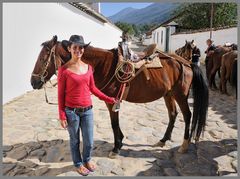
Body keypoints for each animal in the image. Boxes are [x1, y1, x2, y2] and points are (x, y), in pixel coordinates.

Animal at [31, 36, 208, 158]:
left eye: (44, 57)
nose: (33, 82)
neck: (103, 65)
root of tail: (185, 62)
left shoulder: (112, 102)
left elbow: (114, 124)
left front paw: (116, 148)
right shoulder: (111, 102)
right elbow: (114, 124)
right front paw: (120, 142)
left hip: (180, 95)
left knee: (187, 116)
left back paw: (184, 145)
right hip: (168, 94)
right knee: (173, 114)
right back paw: (163, 140)